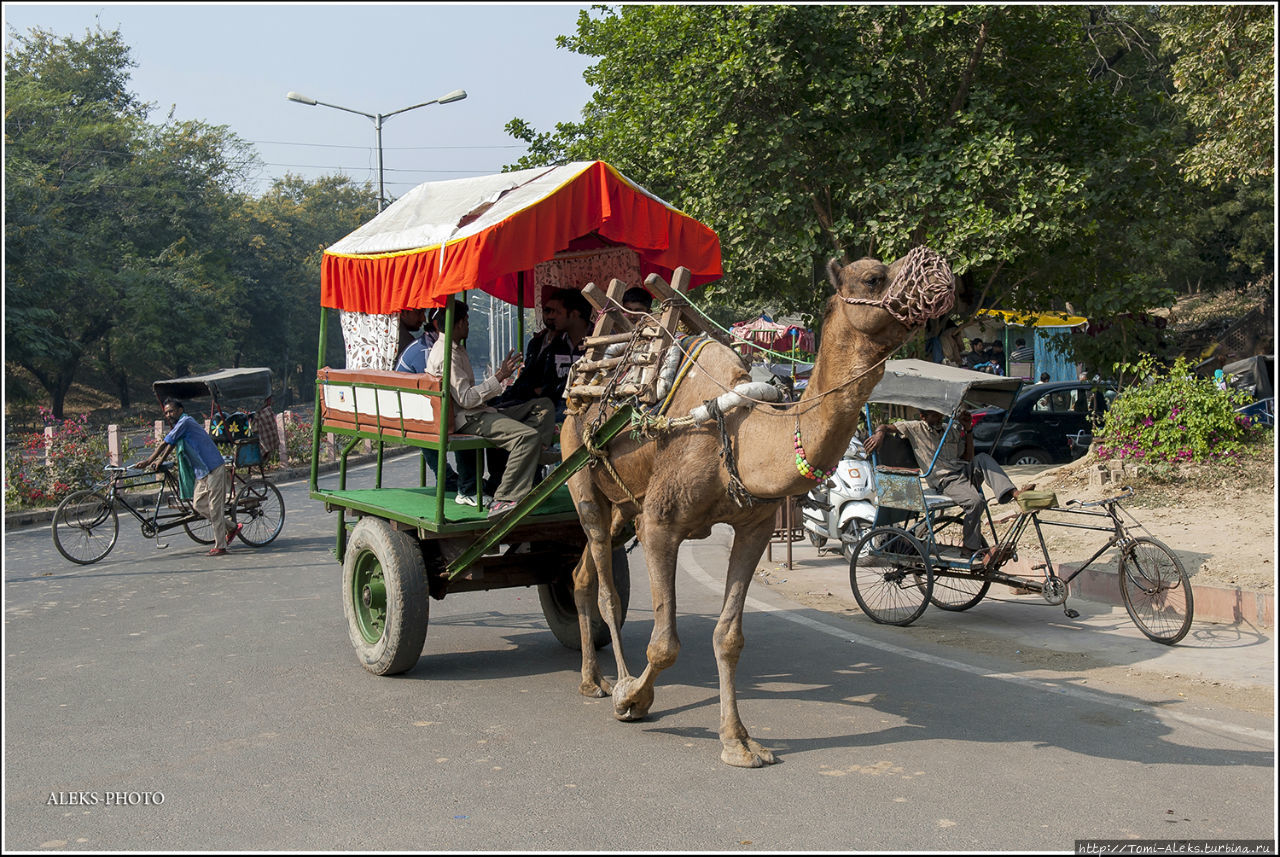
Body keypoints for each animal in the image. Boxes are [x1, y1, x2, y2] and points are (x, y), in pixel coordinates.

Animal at [563, 250, 962, 772]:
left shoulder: (753, 527)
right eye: (875, 277)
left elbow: (729, 637)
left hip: (623, 505)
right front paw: (634, 699)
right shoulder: (659, 524)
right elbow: (665, 642)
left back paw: (592, 677)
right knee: (606, 586)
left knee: (582, 575)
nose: (941, 273)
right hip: (581, 472)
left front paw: (738, 742)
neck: (737, 433)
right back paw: (610, 683)